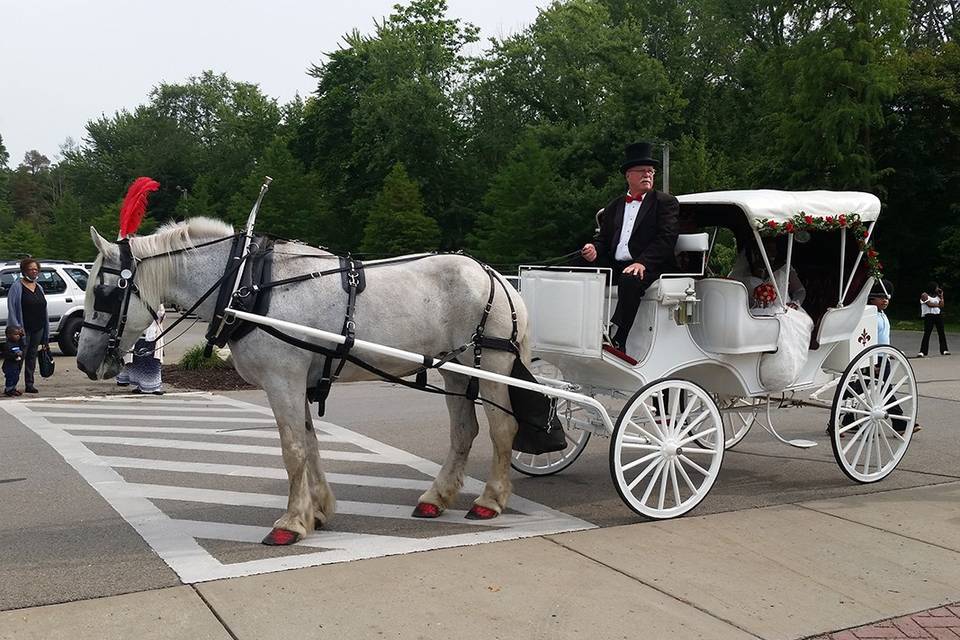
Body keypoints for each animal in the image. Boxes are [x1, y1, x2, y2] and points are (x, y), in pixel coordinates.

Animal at [78, 220, 528, 544]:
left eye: (103, 291)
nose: (84, 360)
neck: (247, 284)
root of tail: (496, 277)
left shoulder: (283, 381)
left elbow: (293, 450)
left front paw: (292, 523)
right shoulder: (296, 383)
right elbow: (310, 445)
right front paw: (319, 509)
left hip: (490, 363)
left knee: (503, 428)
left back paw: (490, 500)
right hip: (455, 369)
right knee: (464, 431)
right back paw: (437, 498)